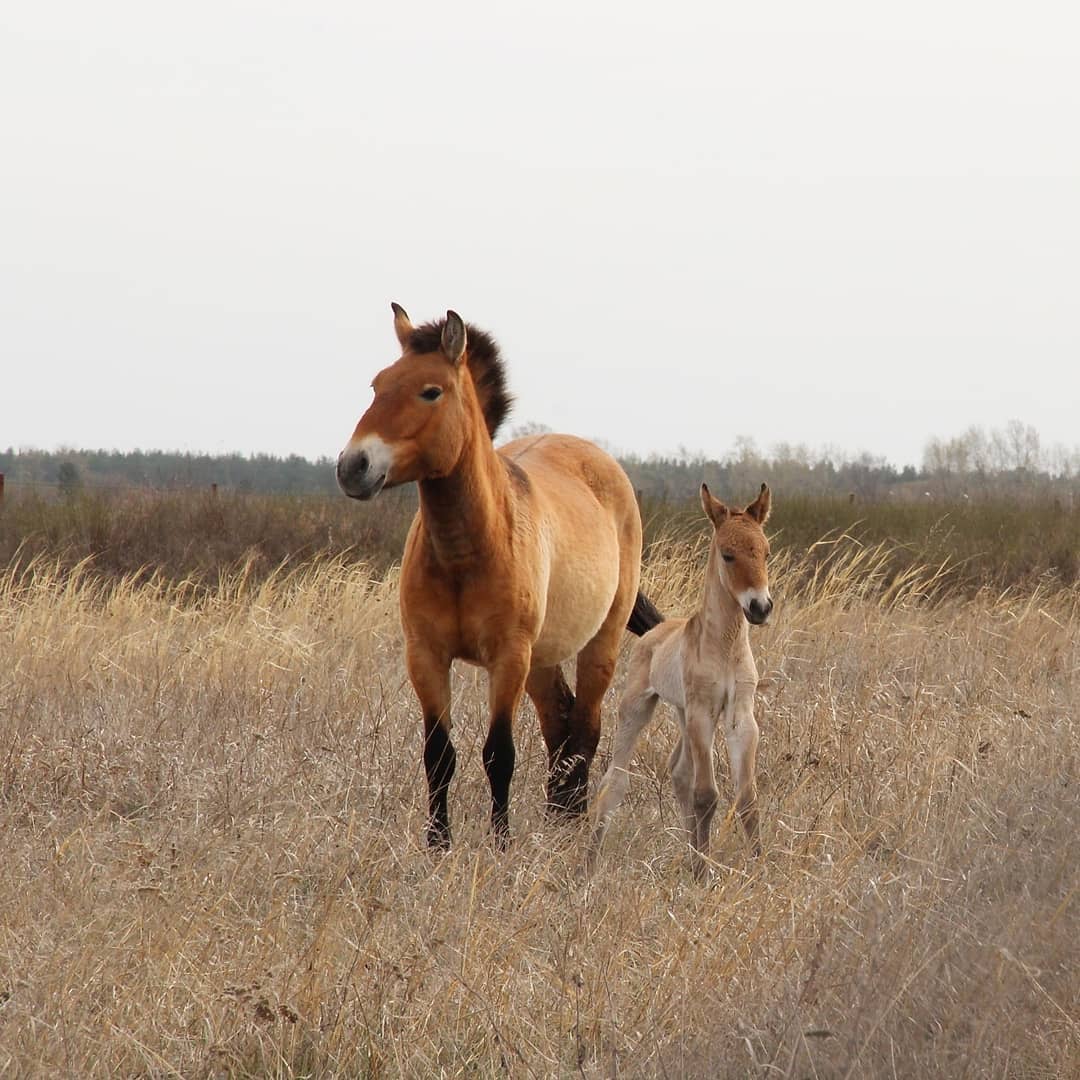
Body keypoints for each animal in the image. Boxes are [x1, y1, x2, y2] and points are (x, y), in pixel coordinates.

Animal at [337, 304, 663, 848]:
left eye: (431, 391)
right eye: (377, 385)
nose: (352, 467)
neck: (465, 552)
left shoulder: (507, 657)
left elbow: (499, 754)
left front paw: (501, 843)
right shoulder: (426, 655)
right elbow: (439, 755)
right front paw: (438, 845)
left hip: (598, 643)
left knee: (585, 726)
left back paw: (572, 823)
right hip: (541, 659)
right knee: (560, 723)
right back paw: (559, 816)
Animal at [587, 482, 773, 880]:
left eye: (765, 551)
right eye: (728, 555)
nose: (760, 608)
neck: (725, 647)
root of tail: (654, 631)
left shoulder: (740, 716)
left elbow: (746, 797)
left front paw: (756, 866)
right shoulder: (703, 710)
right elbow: (707, 795)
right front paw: (704, 872)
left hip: (683, 713)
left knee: (680, 773)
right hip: (639, 708)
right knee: (614, 782)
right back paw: (588, 863)